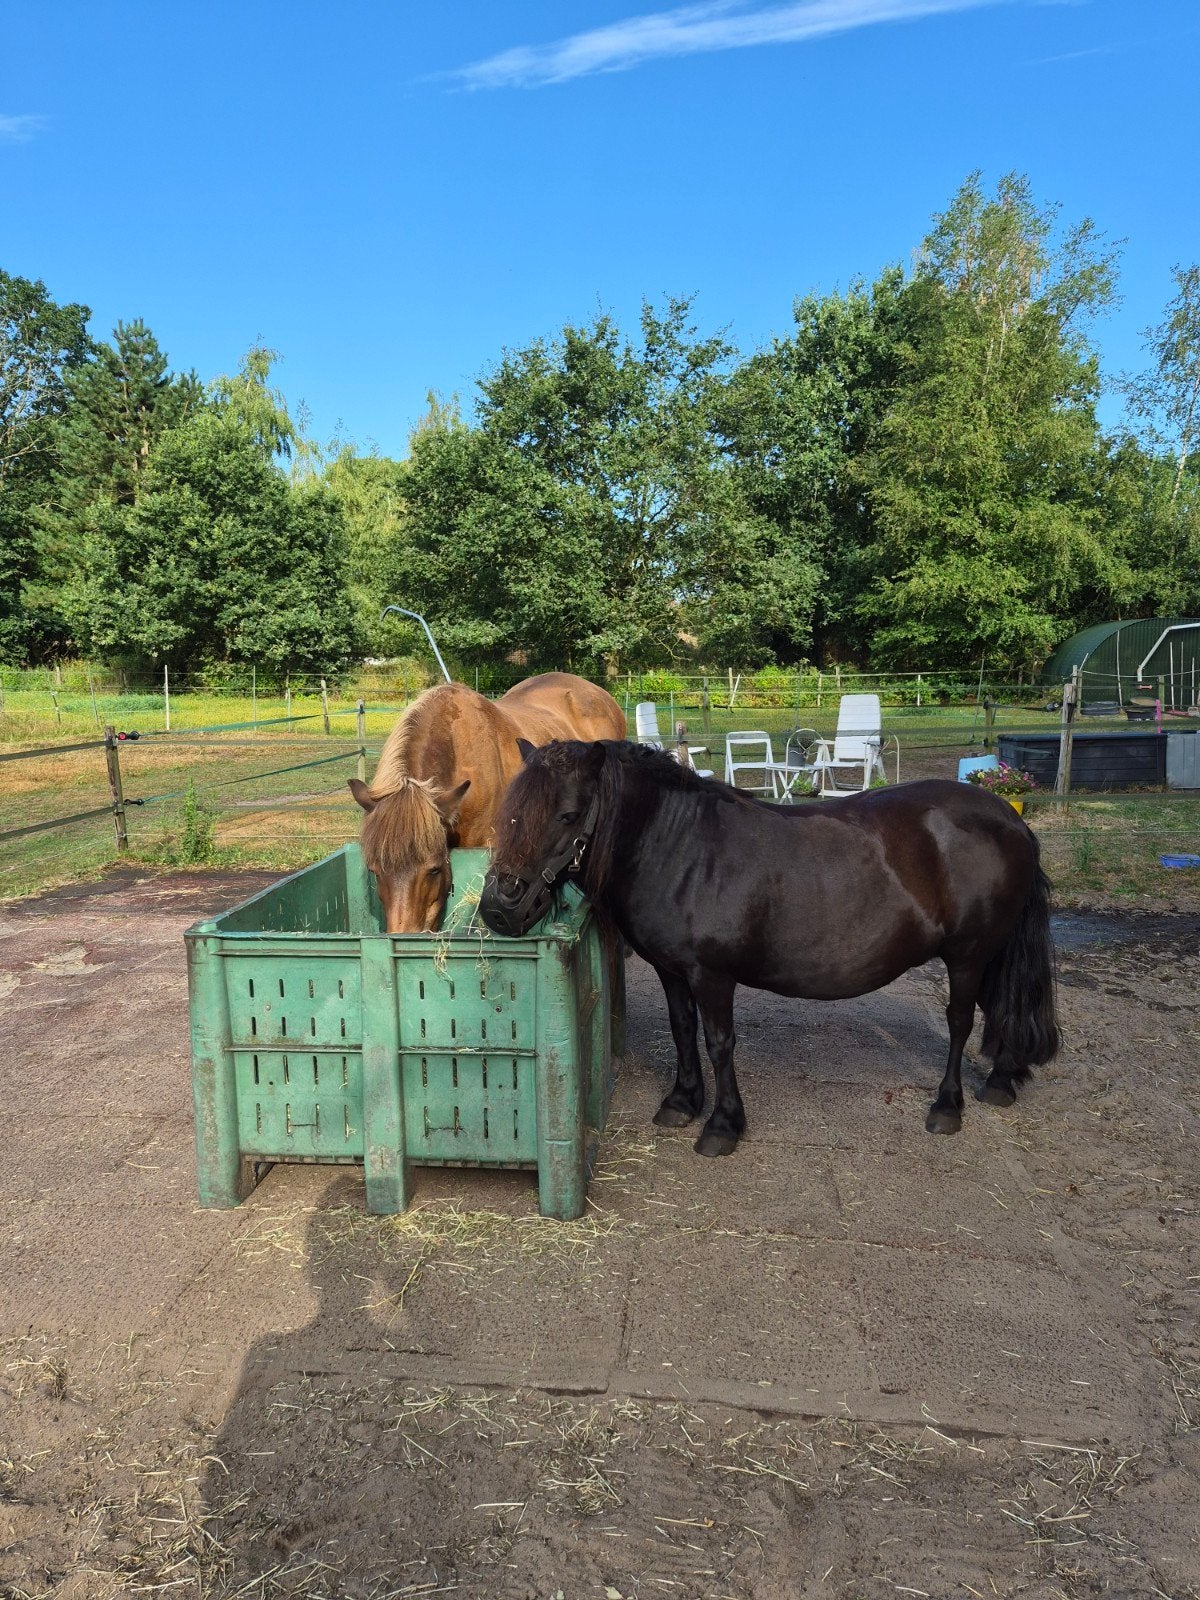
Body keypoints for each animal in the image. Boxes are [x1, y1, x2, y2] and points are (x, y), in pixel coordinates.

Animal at [478, 740, 1059, 1155]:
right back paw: (1002, 1081)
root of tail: (1011, 818)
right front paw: (682, 1101)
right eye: (513, 811)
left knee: (962, 1021)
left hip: (968, 955)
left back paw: (947, 1106)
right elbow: (682, 1029)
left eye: (568, 814)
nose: (499, 908)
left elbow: (719, 1043)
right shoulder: (672, 970)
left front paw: (722, 1125)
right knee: (1002, 1008)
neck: (681, 847)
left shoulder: (712, 975)